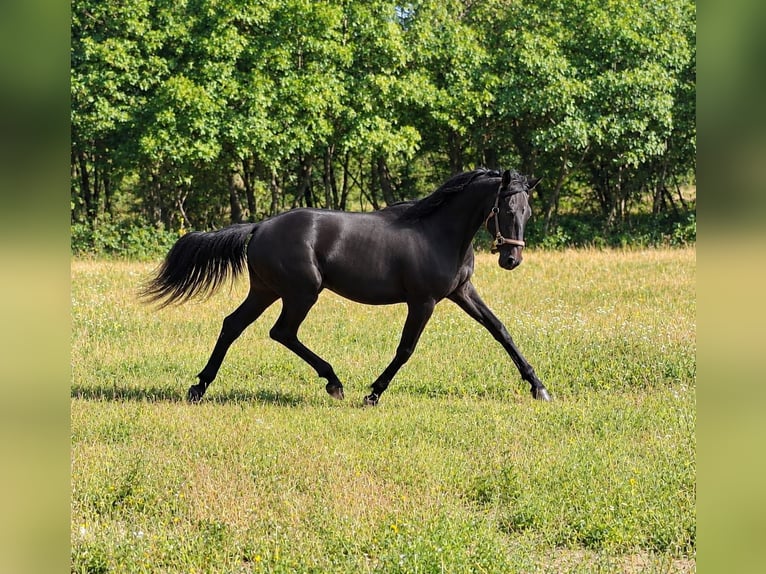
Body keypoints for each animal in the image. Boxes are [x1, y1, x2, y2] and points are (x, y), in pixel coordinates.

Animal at [140, 168, 551, 405]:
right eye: (506, 210)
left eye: (528, 211)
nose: (511, 259)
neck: (438, 233)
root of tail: (260, 227)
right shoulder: (423, 301)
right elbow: (405, 349)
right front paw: (373, 393)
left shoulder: (461, 292)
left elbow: (500, 330)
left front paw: (539, 387)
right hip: (301, 292)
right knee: (281, 332)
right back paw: (334, 382)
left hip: (266, 290)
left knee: (233, 325)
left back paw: (199, 387)